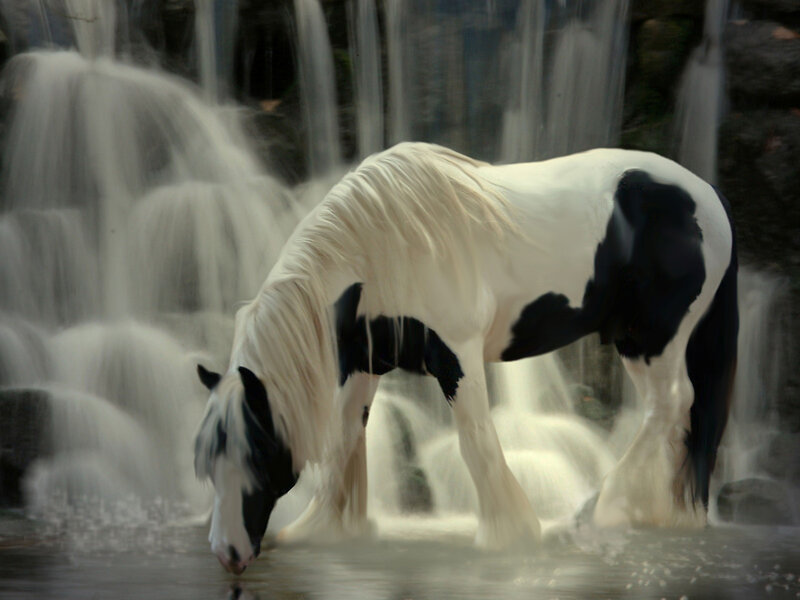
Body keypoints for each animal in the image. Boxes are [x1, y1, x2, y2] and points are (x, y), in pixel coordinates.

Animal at [193, 142, 738, 574]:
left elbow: (477, 442)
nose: (227, 553)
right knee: (680, 419)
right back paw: (664, 514)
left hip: (652, 339)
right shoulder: (363, 365)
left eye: (257, 451)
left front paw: (510, 536)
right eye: (206, 460)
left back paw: (596, 511)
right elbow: (344, 440)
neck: (382, 248)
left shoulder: (457, 354)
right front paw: (321, 529)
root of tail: (709, 196)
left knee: (671, 405)